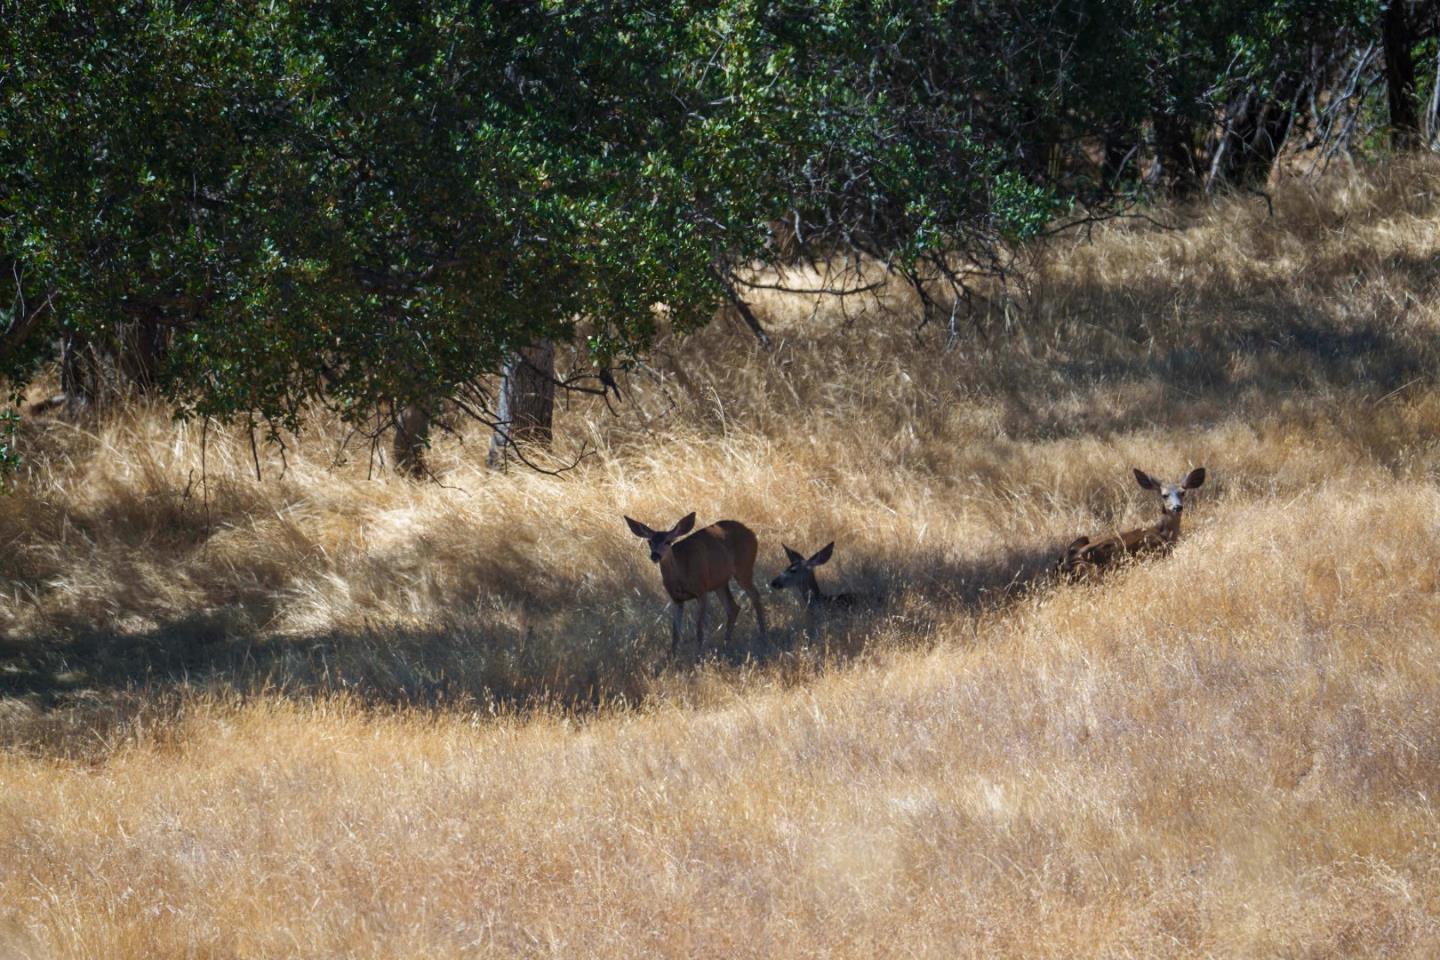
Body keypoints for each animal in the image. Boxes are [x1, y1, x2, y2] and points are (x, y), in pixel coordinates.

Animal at [624, 515, 771, 656]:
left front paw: (698, 656)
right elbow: (675, 632)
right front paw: (671, 657)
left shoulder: (701, 590)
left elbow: (699, 628)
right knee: (733, 607)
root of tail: (751, 533)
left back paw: (763, 635)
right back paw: (726, 644)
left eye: (668, 541)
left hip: (744, 568)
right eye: (650, 542)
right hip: (719, 582)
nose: (655, 555)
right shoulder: (676, 599)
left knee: (755, 596)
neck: (681, 577)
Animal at [1059, 466, 1203, 578]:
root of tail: (1067, 563)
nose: (1177, 507)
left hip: (1083, 539)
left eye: (1183, 493)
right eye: (1164, 495)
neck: (1164, 533)